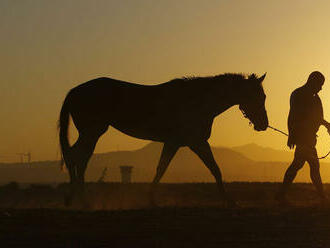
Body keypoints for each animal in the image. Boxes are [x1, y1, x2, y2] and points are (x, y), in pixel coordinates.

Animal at [58, 72, 268, 206]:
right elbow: (211, 168)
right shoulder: (194, 142)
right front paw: (229, 201)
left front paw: (151, 199)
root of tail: (74, 91)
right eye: (258, 97)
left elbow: (165, 168)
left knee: (75, 156)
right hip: (92, 132)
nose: (264, 124)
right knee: (78, 158)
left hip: (90, 133)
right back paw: (80, 199)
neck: (197, 100)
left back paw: (73, 198)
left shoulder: (179, 143)